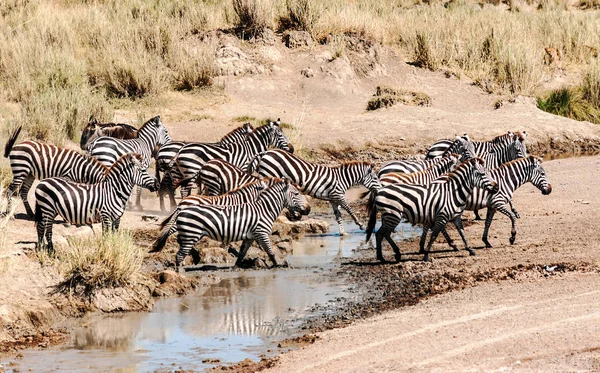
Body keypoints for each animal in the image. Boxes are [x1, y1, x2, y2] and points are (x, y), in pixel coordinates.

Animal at [149, 178, 310, 268]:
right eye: (297, 194)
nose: (308, 209)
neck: (264, 208)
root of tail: (182, 206)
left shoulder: (250, 236)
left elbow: (242, 252)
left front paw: (237, 266)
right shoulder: (261, 232)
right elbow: (270, 251)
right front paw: (279, 265)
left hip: (189, 232)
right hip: (191, 232)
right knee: (177, 248)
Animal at [247, 147, 380, 232]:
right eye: (375, 178)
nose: (380, 188)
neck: (342, 179)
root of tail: (266, 151)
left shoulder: (333, 199)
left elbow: (338, 216)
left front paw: (343, 234)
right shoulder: (338, 195)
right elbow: (350, 209)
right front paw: (361, 225)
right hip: (268, 173)